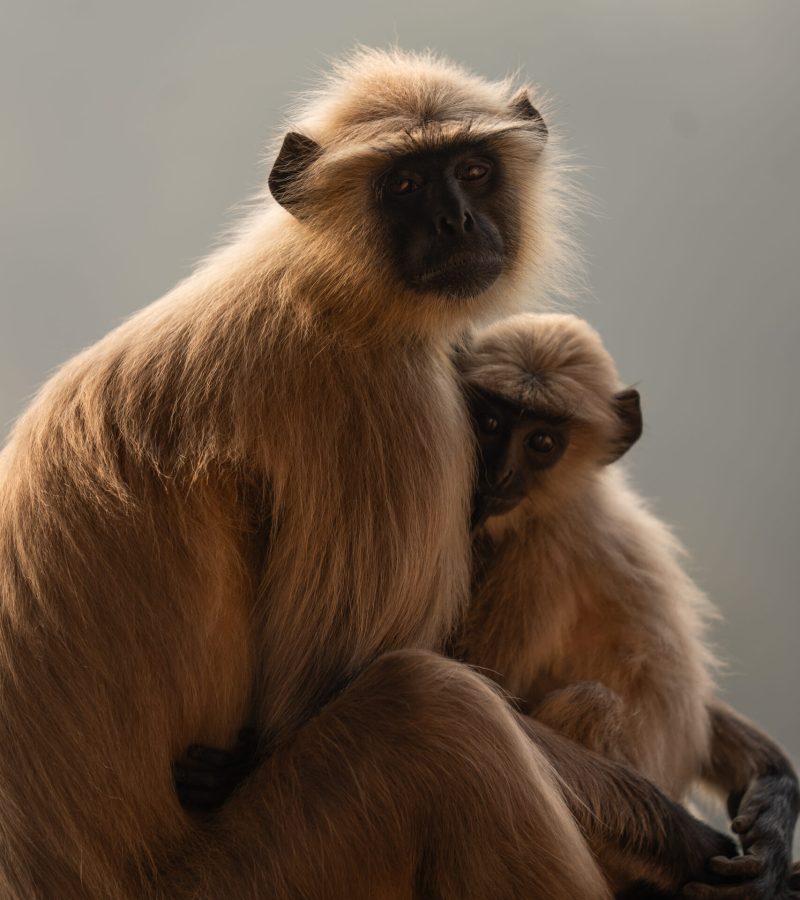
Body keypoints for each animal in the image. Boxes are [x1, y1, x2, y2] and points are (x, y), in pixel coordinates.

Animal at [0, 48, 738, 899]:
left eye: (473, 170)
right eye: (406, 185)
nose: (456, 222)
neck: (327, 285)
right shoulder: (386, 404)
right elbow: (315, 701)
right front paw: (685, 835)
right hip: (262, 872)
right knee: (432, 708)